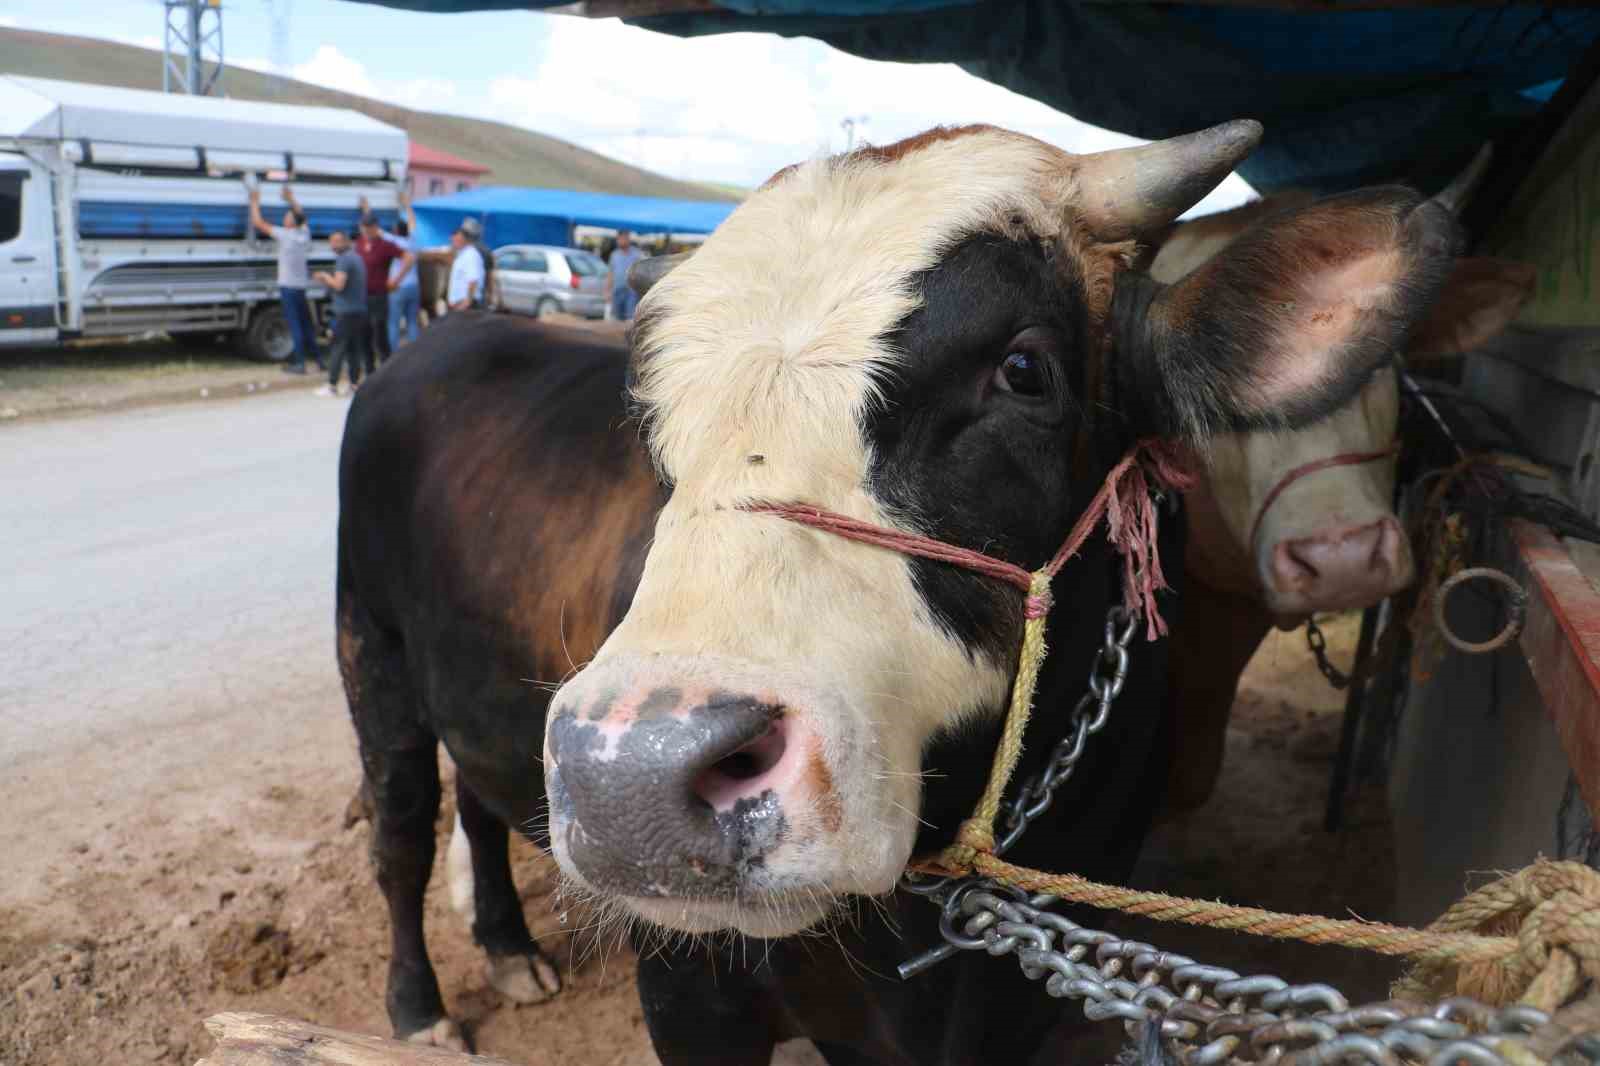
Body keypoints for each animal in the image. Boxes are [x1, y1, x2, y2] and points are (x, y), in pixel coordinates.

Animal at [337, 120, 1465, 1056]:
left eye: (1023, 369)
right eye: (646, 407)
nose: (631, 777)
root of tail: (447, 333)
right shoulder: (689, 988)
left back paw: (508, 949)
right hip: (372, 653)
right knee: (401, 831)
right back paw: (421, 1006)